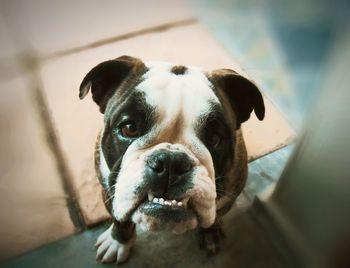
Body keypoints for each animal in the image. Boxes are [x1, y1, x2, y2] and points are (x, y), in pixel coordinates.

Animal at [79, 55, 264, 264]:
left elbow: (214, 216)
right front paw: (118, 241)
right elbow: (120, 220)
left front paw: (210, 232)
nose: (170, 162)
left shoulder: (227, 198)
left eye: (214, 138)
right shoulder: (109, 192)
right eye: (129, 128)